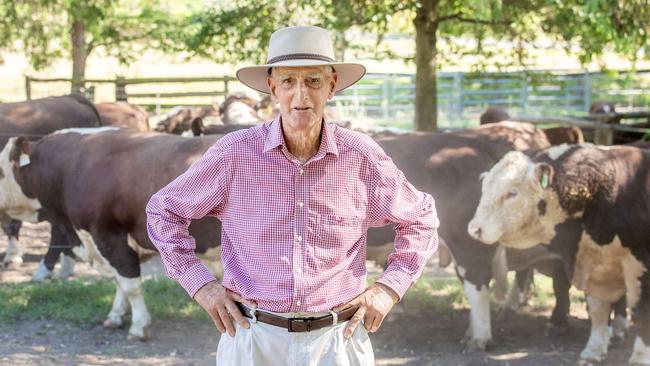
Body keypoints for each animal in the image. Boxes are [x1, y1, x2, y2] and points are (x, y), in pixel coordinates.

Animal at [1, 129, 223, 340]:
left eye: (1, 172)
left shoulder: (107, 235)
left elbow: (129, 283)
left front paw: (139, 326)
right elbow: (119, 281)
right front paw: (115, 316)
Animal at [466, 144, 648, 364]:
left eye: (512, 193)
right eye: (484, 188)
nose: (474, 229)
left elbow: (643, 313)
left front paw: (639, 358)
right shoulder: (595, 265)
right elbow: (598, 309)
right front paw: (594, 350)